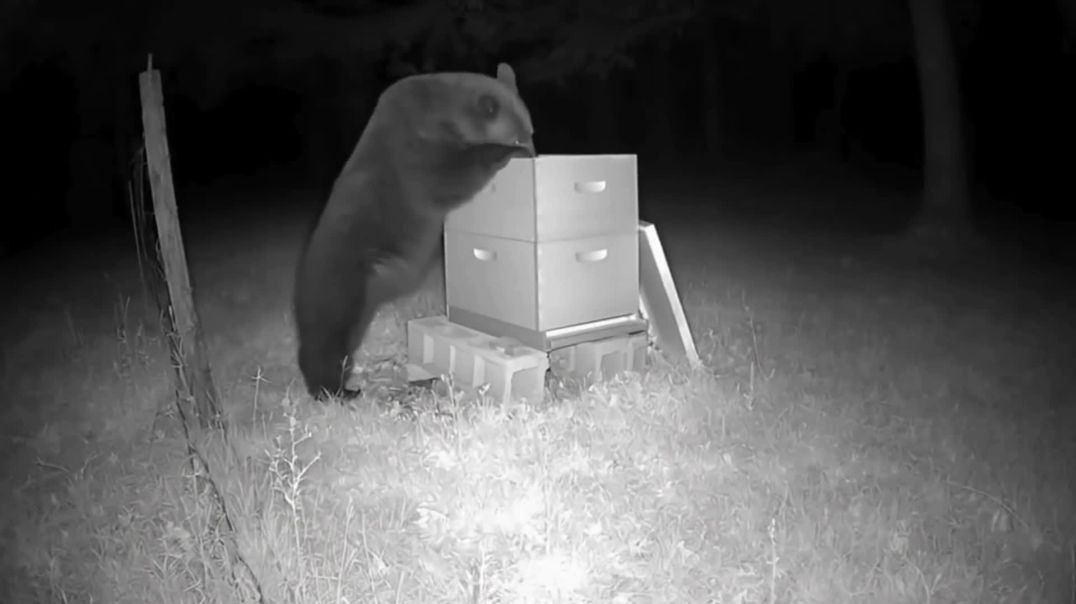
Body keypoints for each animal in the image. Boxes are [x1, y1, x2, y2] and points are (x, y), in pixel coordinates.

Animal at [294, 62, 535, 401]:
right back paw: (334, 389)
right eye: (517, 138)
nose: (533, 151)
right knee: (327, 339)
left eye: (531, 132)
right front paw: (498, 153)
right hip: (340, 283)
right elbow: (444, 176)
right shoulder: (411, 149)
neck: (441, 111)